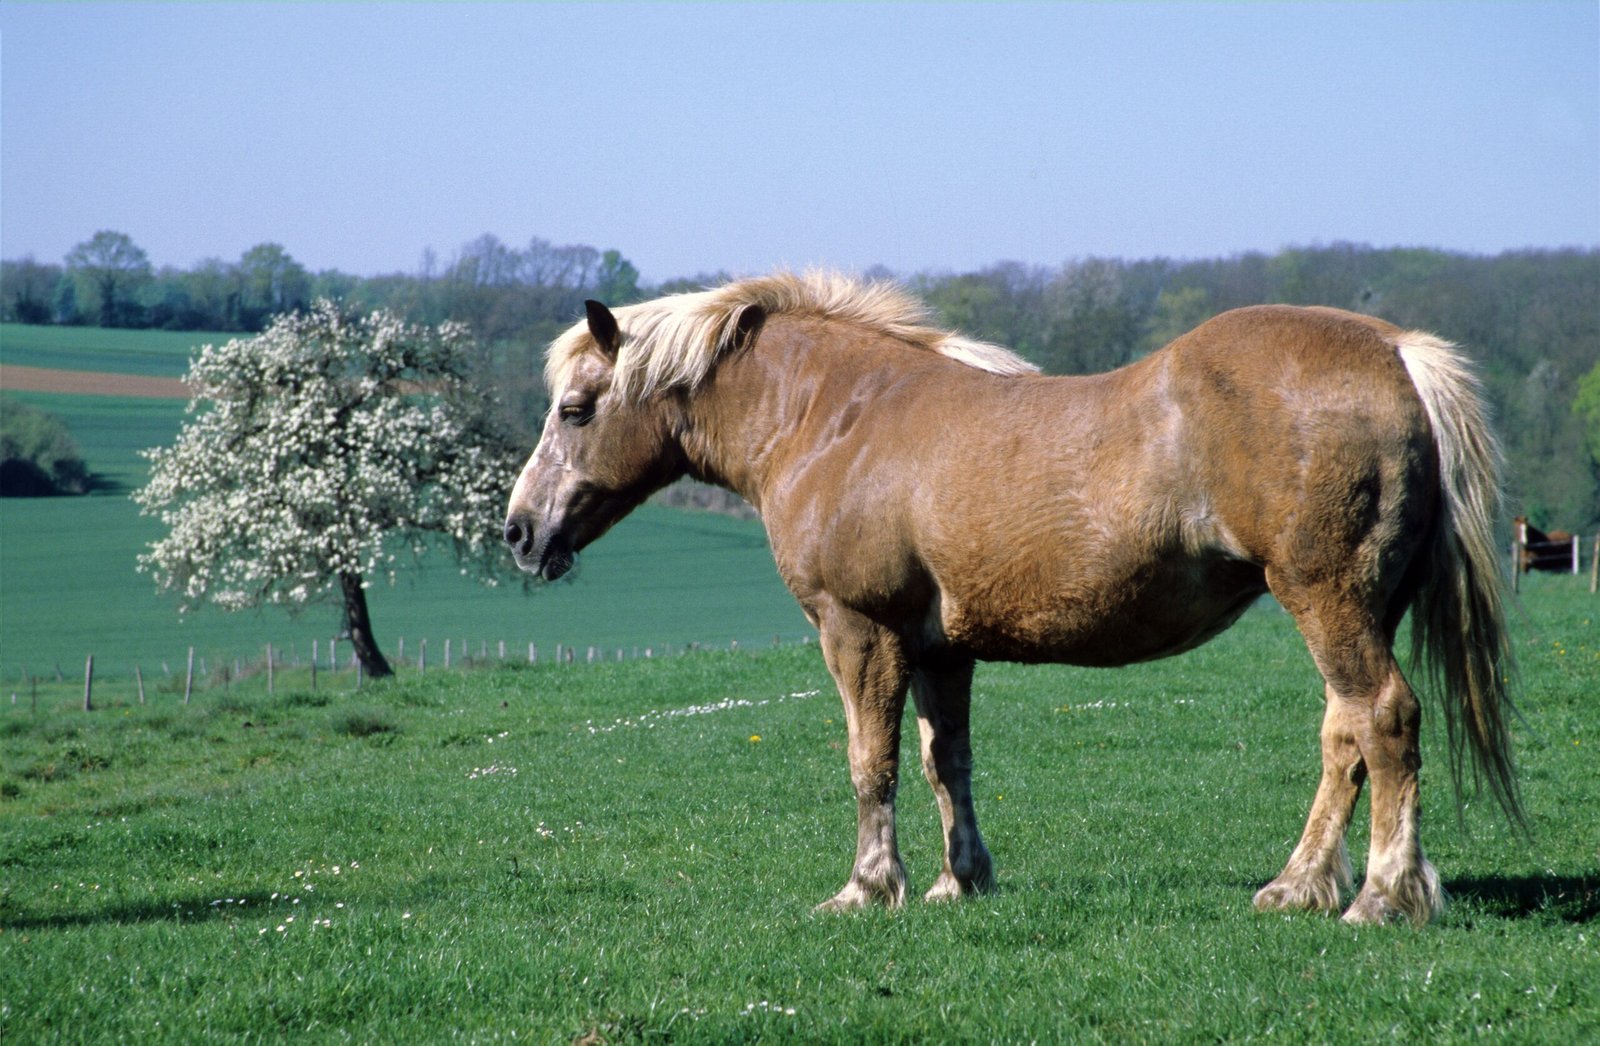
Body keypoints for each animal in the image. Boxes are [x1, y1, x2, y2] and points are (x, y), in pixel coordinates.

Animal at [503, 271, 1520, 926]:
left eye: (574, 410)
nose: (518, 531)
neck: (836, 418)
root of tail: (1394, 351)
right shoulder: (938, 648)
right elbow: (942, 762)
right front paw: (960, 882)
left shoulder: (860, 631)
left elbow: (869, 764)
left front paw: (867, 890)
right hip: (1356, 608)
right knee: (1345, 736)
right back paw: (1299, 886)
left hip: (1327, 600)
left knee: (1383, 719)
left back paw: (1381, 896)